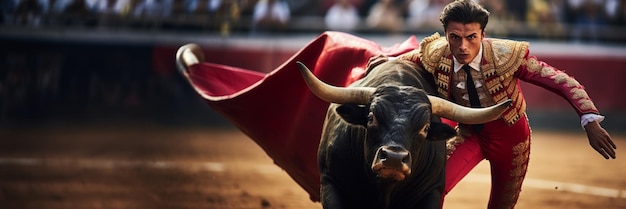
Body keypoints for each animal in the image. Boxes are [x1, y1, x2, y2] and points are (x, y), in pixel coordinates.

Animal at [294, 59, 510, 209]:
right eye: (371, 117)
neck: (385, 189)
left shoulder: (430, 193)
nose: (394, 158)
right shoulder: (331, 183)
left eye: (425, 128)